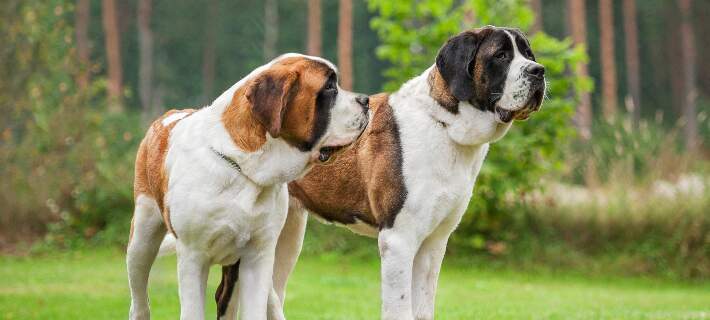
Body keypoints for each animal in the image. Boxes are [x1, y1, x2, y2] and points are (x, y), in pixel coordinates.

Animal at [127, 53, 370, 320]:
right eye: (328, 87)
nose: (366, 100)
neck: (244, 169)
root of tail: (168, 116)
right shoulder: (193, 258)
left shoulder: (258, 257)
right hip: (142, 237)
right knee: (139, 297)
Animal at [211, 25, 544, 320]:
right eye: (500, 55)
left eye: (528, 53)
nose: (538, 71)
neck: (445, 126)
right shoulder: (398, 239)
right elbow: (399, 309)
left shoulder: (434, 243)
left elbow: (423, 308)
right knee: (226, 295)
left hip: (287, 235)